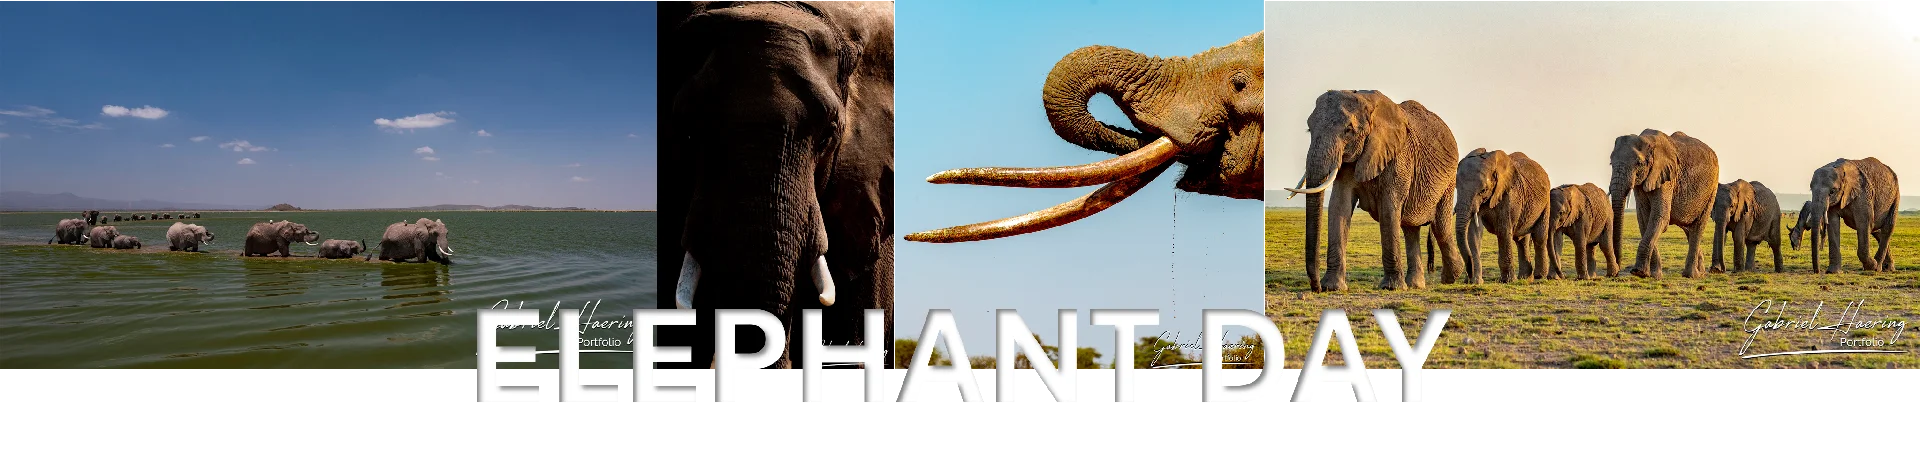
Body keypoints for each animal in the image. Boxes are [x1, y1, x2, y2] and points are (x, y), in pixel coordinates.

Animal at [1284, 90, 1464, 291]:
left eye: (1349, 130)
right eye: (1309, 129)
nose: (1317, 288)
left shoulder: (1398, 156)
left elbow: (1388, 209)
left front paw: (1391, 287)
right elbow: (1339, 206)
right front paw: (1333, 287)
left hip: (1448, 180)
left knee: (1439, 226)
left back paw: (1451, 277)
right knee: (1410, 229)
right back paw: (1416, 285)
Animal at [1454, 149, 1551, 283]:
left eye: (1483, 190)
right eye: (1456, 187)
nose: (1468, 274)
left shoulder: (1508, 195)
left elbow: (1503, 231)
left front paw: (1508, 281)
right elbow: (1473, 233)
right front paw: (1475, 282)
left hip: (1546, 202)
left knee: (1539, 236)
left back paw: (1539, 276)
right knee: (1521, 240)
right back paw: (1525, 277)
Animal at [1609, 129, 1720, 279]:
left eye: (1638, 163)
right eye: (1611, 163)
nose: (1616, 272)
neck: (1648, 142)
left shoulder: (1666, 177)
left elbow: (1659, 217)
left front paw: (1638, 272)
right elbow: (1644, 219)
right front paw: (1653, 275)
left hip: (1712, 189)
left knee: (1698, 226)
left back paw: (1691, 275)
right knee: (1688, 228)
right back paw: (1700, 272)